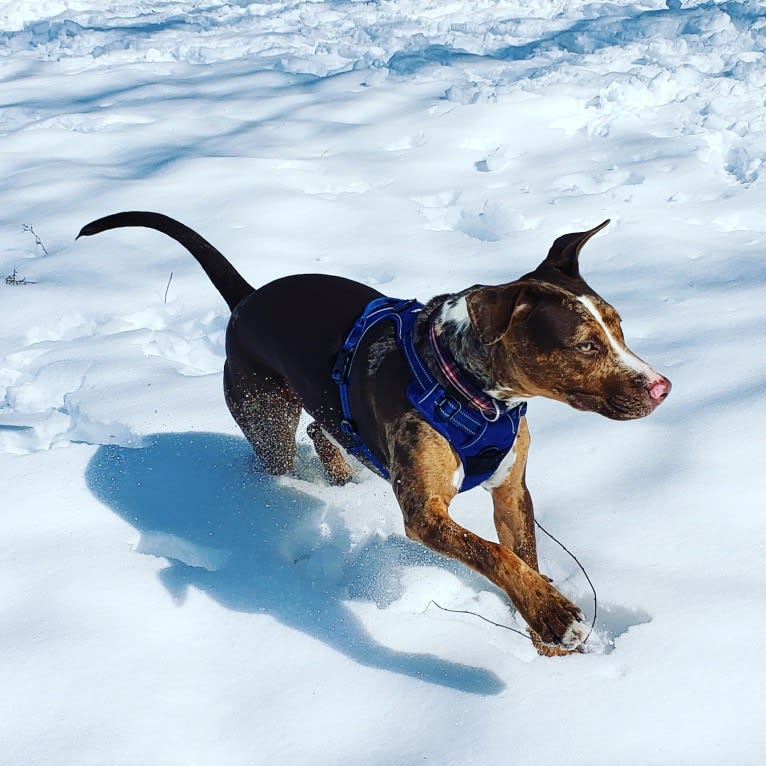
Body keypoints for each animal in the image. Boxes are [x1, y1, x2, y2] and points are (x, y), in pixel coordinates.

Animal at [78, 213, 672, 656]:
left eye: (618, 328)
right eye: (585, 345)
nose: (662, 387)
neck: (468, 387)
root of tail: (245, 299)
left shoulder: (511, 488)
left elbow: (522, 555)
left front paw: (547, 640)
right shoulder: (424, 510)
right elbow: (495, 556)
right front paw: (554, 616)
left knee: (322, 428)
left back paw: (342, 478)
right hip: (263, 416)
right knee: (279, 452)